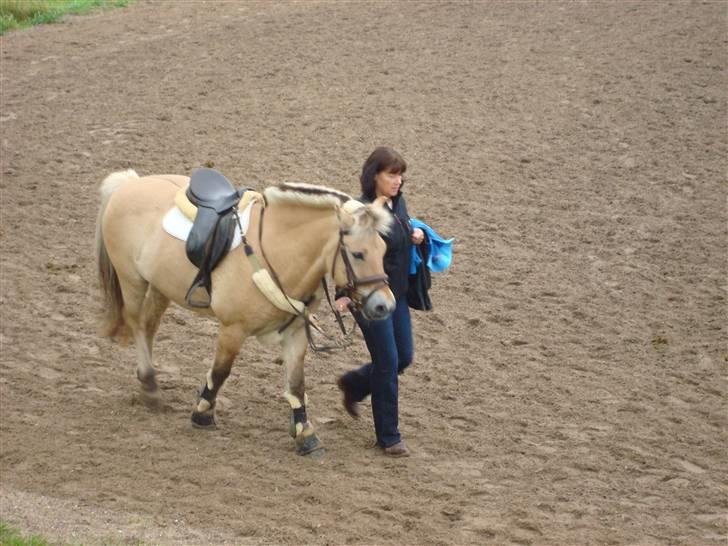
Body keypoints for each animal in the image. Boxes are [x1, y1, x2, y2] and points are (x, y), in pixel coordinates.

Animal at [96, 168, 396, 452]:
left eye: (383, 249)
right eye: (358, 254)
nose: (385, 305)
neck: (277, 251)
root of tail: (129, 183)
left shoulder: (296, 333)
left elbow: (296, 384)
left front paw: (305, 435)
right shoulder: (233, 329)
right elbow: (220, 372)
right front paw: (202, 414)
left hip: (161, 287)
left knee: (148, 326)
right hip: (132, 280)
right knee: (136, 323)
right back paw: (149, 385)